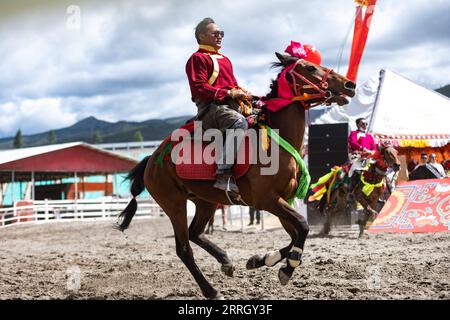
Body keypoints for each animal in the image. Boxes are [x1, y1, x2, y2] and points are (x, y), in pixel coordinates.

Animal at [115, 53, 356, 300]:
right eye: (309, 68)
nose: (350, 85)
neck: (276, 144)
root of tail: (151, 160)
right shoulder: (266, 200)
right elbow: (303, 225)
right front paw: (287, 268)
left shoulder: (284, 200)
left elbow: (296, 232)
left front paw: (261, 260)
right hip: (174, 205)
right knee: (184, 249)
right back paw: (211, 291)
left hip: (206, 202)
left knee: (195, 233)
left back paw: (226, 262)